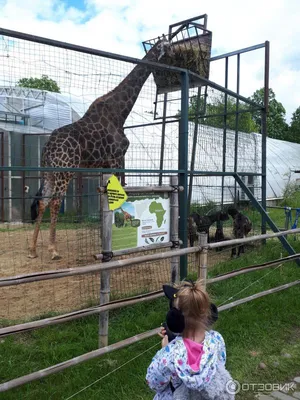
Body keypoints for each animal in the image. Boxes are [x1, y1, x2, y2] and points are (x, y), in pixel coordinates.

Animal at [29, 36, 173, 260]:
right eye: (167, 46)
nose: (174, 60)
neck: (120, 113)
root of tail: (48, 147)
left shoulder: (106, 163)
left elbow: (105, 199)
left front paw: (104, 239)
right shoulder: (116, 159)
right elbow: (119, 194)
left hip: (48, 172)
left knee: (43, 201)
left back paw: (33, 249)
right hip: (65, 170)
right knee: (54, 202)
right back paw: (53, 250)